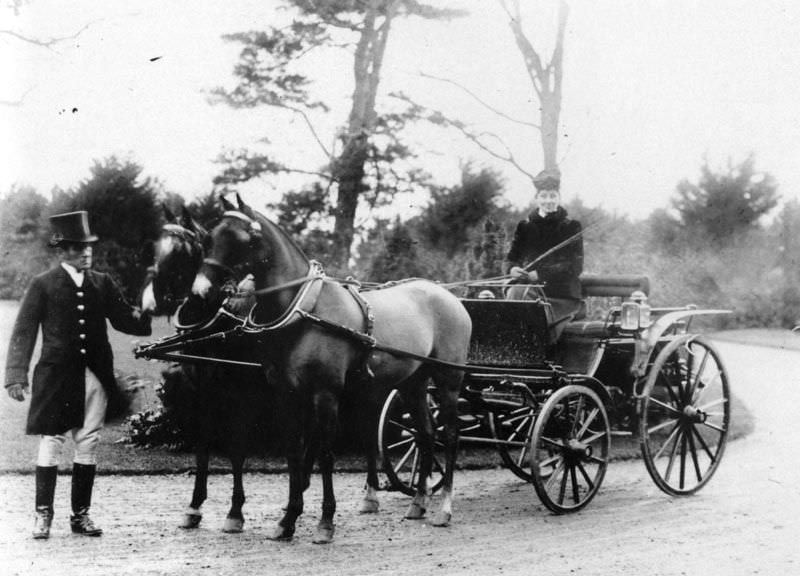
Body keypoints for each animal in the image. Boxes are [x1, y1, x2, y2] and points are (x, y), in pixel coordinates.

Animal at [140, 205, 272, 532]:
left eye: (182, 250)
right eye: (154, 247)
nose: (148, 301)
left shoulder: (241, 396)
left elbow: (237, 447)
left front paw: (235, 511)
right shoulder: (202, 392)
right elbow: (202, 444)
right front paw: (194, 505)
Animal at [191, 196, 472, 544]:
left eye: (245, 239)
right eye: (209, 237)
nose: (201, 290)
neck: (305, 310)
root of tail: (448, 295)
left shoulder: (325, 394)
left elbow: (324, 454)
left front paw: (325, 523)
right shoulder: (288, 395)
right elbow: (294, 453)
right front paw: (288, 520)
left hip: (448, 380)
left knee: (451, 435)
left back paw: (444, 508)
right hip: (414, 383)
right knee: (426, 435)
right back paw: (418, 502)